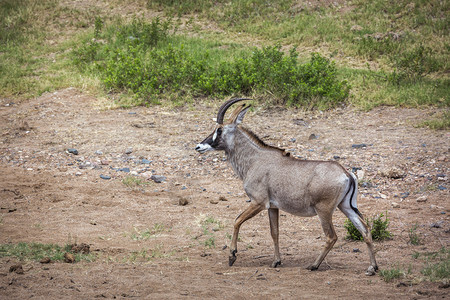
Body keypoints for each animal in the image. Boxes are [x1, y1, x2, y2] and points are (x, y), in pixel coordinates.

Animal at [195, 98, 378, 276]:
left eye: (219, 130)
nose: (199, 146)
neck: (255, 160)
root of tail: (346, 174)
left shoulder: (258, 202)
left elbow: (237, 220)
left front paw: (232, 256)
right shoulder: (272, 207)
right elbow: (274, 232)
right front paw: (276, 261)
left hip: (324, 210)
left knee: (331, 237)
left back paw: (314, 265)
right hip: (346, 206)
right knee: (365, 230)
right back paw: (372, 268)